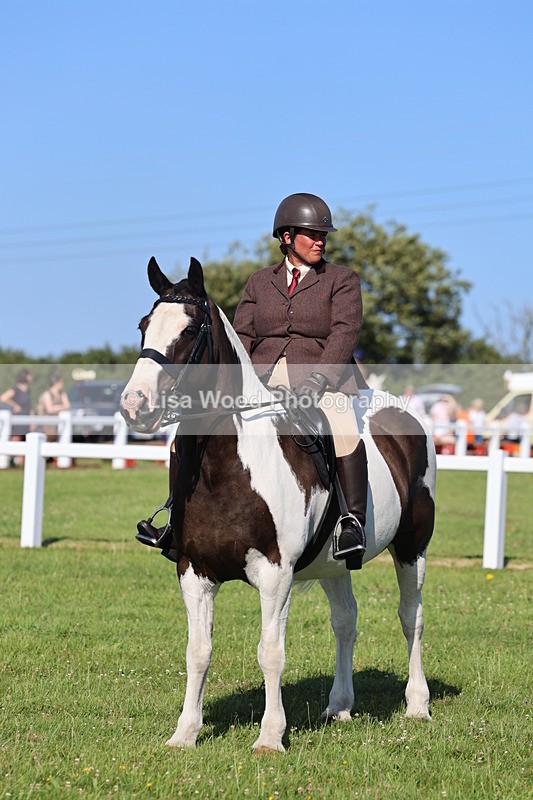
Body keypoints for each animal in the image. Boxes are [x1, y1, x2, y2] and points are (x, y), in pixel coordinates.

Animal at [120, 256, 436, 753]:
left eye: (189, 330)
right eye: (144, 326)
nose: (135, 405)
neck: (227, 465)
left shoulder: (274, 575)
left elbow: (270, 652)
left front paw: (270, 737)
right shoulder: (194, 572)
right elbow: (198, 652)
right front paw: (185, 733)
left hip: (411, 547)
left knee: (411, 618)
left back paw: (417, 705)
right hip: (333, 563)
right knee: (345, 621)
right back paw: (339, 706)